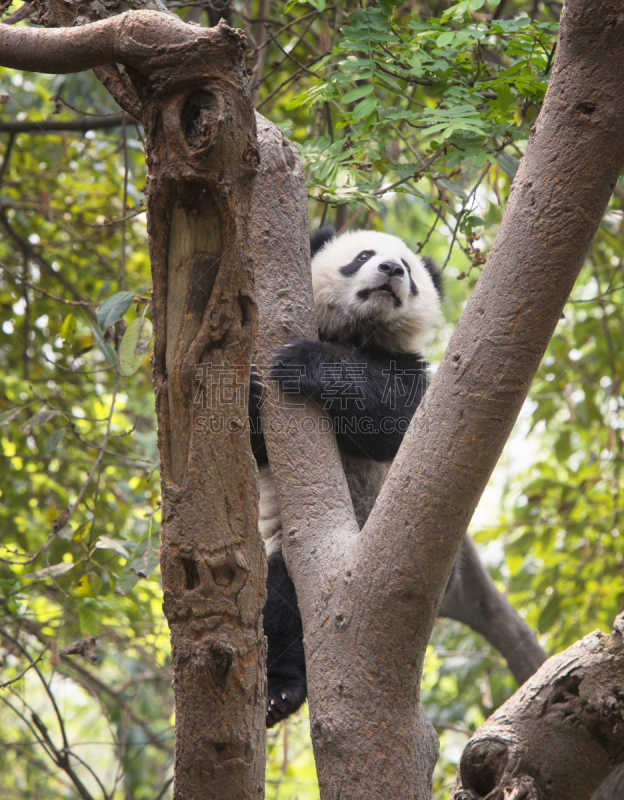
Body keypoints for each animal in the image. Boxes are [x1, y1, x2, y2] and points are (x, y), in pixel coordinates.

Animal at [249, 228, 444, 728]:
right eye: (363, 255)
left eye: (408, 269)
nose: (391, 270)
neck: (358, 331)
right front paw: (250, 388)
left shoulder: (408, 368)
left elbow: (397, 419)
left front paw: (303, 360)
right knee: (277, 606)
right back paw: (279, 693)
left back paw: (283, 693)